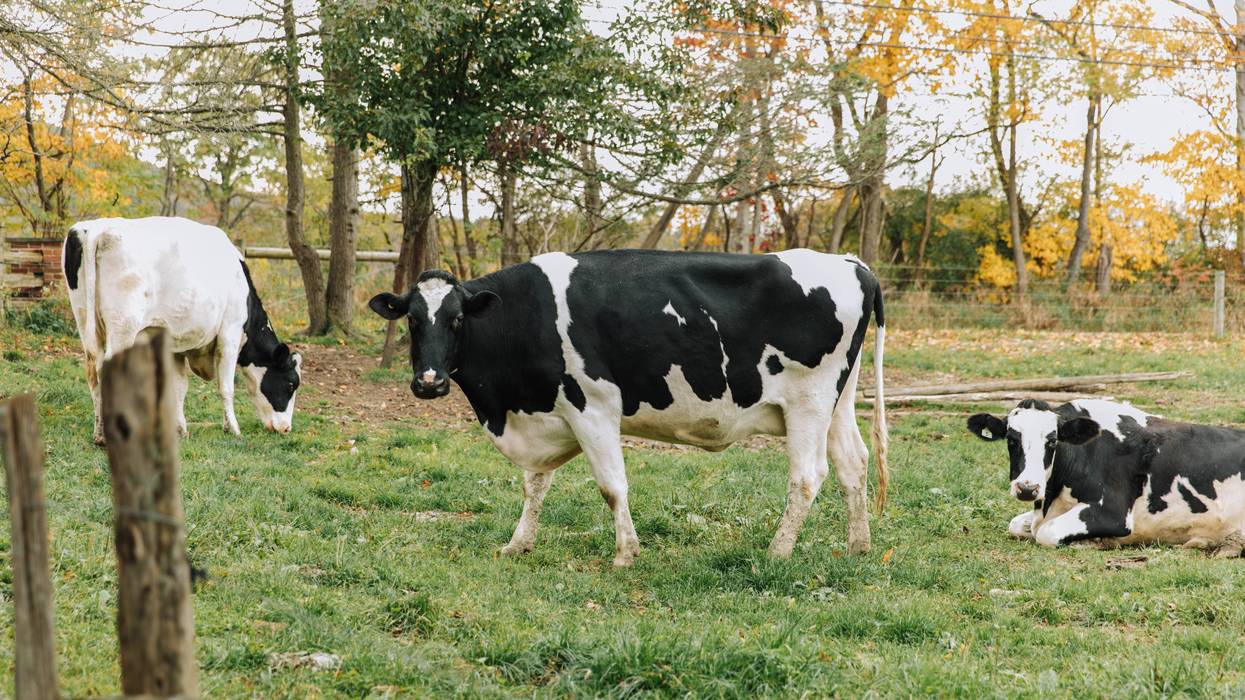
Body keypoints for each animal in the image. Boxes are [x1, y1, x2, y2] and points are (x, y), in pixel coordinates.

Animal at [62, 217, 303, 444]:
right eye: (291, 383)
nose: (286, 429)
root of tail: (98, 227)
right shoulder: (230, 335)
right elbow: (226, 387)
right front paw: (233, 429)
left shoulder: (175, 344)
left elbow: (179, 387)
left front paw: (180, 429)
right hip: (124, 327)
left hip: (85, 320)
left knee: (93, 371)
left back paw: (100, 434)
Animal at [369, 249, 888, 566]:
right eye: (412, 321)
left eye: (457, 319)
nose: (429, 382)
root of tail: (851, 263)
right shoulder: (547, 412)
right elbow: (535, 484)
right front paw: (518, 544)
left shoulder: (593, 408)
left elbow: (611, 486)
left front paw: (625, 553)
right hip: (839, 401)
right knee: (854, 463)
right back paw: (858, 547)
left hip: (809, 401)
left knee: (808, 477)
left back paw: (776, 553)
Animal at [968, 398, 1245, 557]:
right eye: (1011, 439)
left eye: (1052, 440)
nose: (1027, 488)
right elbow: (1015, 524)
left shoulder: (1113, 512)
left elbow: (1047, 532)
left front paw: (1099, 541)